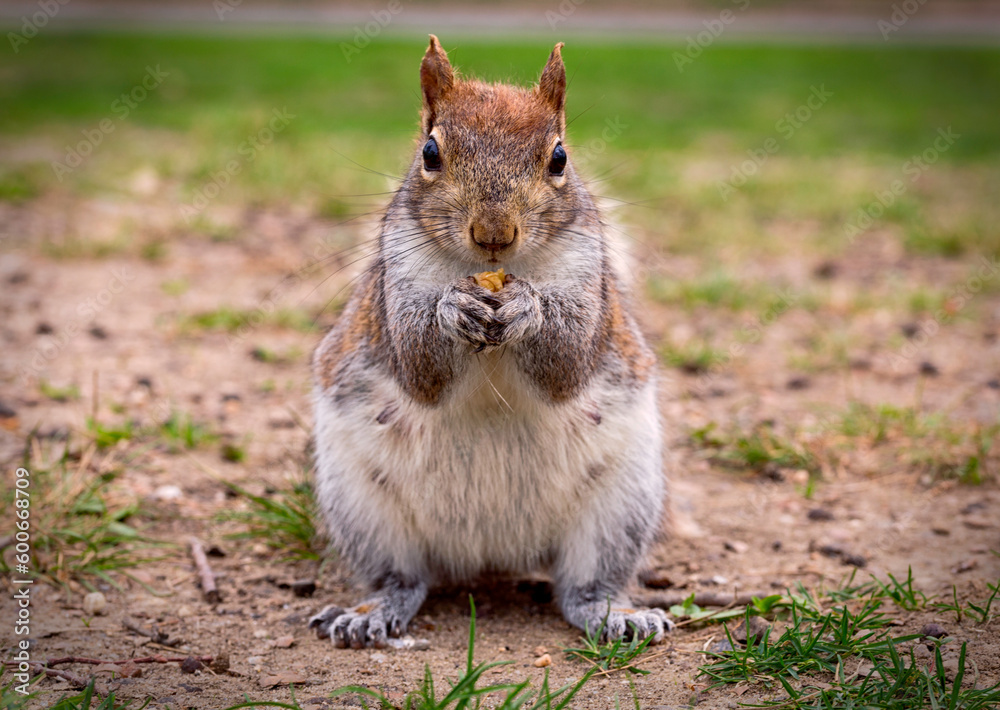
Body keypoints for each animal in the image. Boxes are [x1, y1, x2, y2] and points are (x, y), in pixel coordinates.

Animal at [309, 36, 671, 649]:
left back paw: (613, 612)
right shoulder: (393, 288)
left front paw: (529, 308)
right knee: (403, 578)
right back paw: (372, 611)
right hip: (361, 507)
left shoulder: (588, 282)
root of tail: (493, 554)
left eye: (559, 159)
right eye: (430, 152)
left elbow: (567, 366)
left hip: (621, 505)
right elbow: (419, 370)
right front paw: (452, 308)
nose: (494, 234)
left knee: (583, 586)